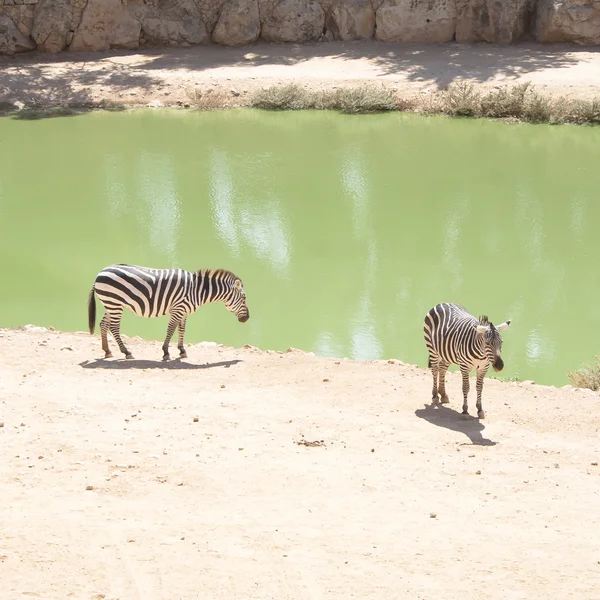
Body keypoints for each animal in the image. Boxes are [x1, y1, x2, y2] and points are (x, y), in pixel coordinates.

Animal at [88, 264, 250, 360]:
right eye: (244, 298)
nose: (247, 318)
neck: (197, 290)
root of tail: (100, 273)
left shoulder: (184, 311)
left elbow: (181, 330)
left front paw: (182, 350)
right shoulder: (178, 309)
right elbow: (171, 329)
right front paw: (166, 352)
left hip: (112, 304)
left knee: (103, 324)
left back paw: (107, 351)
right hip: (114, 303)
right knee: (114, 327)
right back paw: (126, 352)